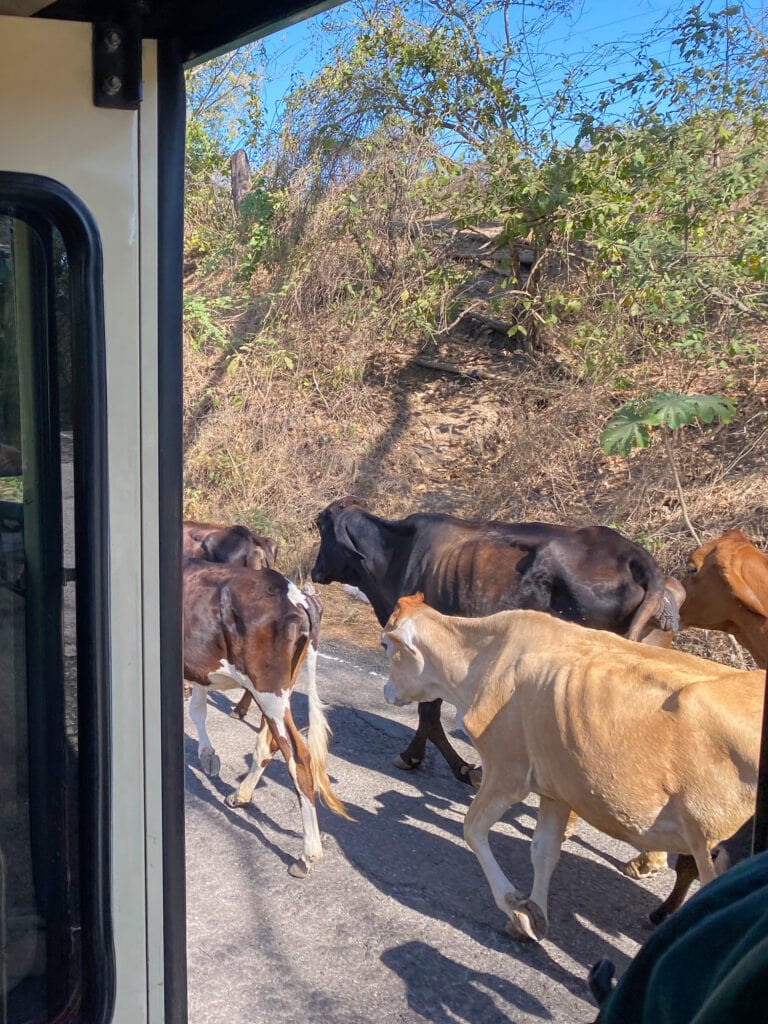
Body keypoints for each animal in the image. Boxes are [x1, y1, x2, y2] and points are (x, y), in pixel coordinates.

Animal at [182, 557, 350, 876]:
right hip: (279, 689)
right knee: (268, 744)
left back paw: (308, 855)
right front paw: (208, 755)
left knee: (298, 756)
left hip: (267, 688)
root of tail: (296, 595)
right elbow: (197, 708)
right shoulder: (199, 669)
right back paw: (241, 794)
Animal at [309, 495, 684, 782]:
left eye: (321, 524)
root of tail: (637, 557)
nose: (314, 570)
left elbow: (429, 714)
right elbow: (430, 713)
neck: (395, 554)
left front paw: (442, 763)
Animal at [382, 598, 765, 937]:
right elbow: (544, 851)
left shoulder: (507, 769)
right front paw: (533, 915)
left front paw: (514, 906)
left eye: (386, 645)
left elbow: (473, 829)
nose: (385, 691)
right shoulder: (556, 788)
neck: (485, 661)